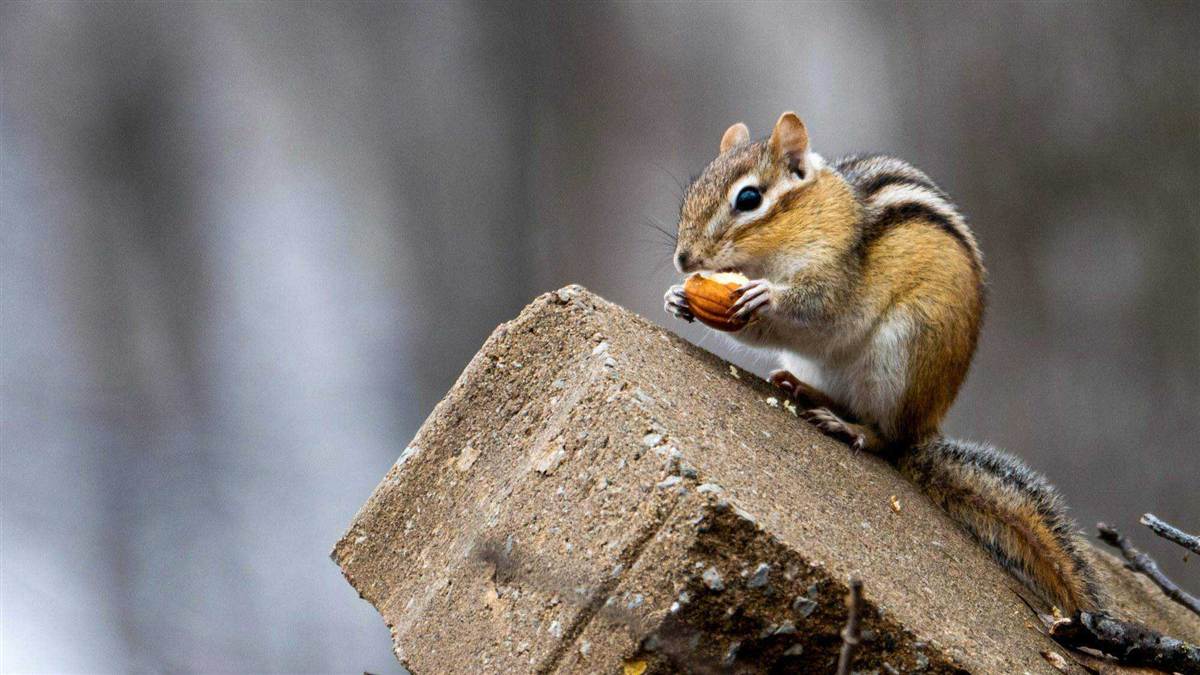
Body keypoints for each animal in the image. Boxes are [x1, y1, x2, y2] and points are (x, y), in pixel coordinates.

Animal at [662, 112, 1105, 616]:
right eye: (693, 188)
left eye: (749, 199)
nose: (684, 259)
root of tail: (924, 430)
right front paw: (677, 298)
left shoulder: (838, 271)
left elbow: (817, 303)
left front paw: (765, 294)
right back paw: (805, 390)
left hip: (899, 355)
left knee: (885, 438)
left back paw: (848, 428)